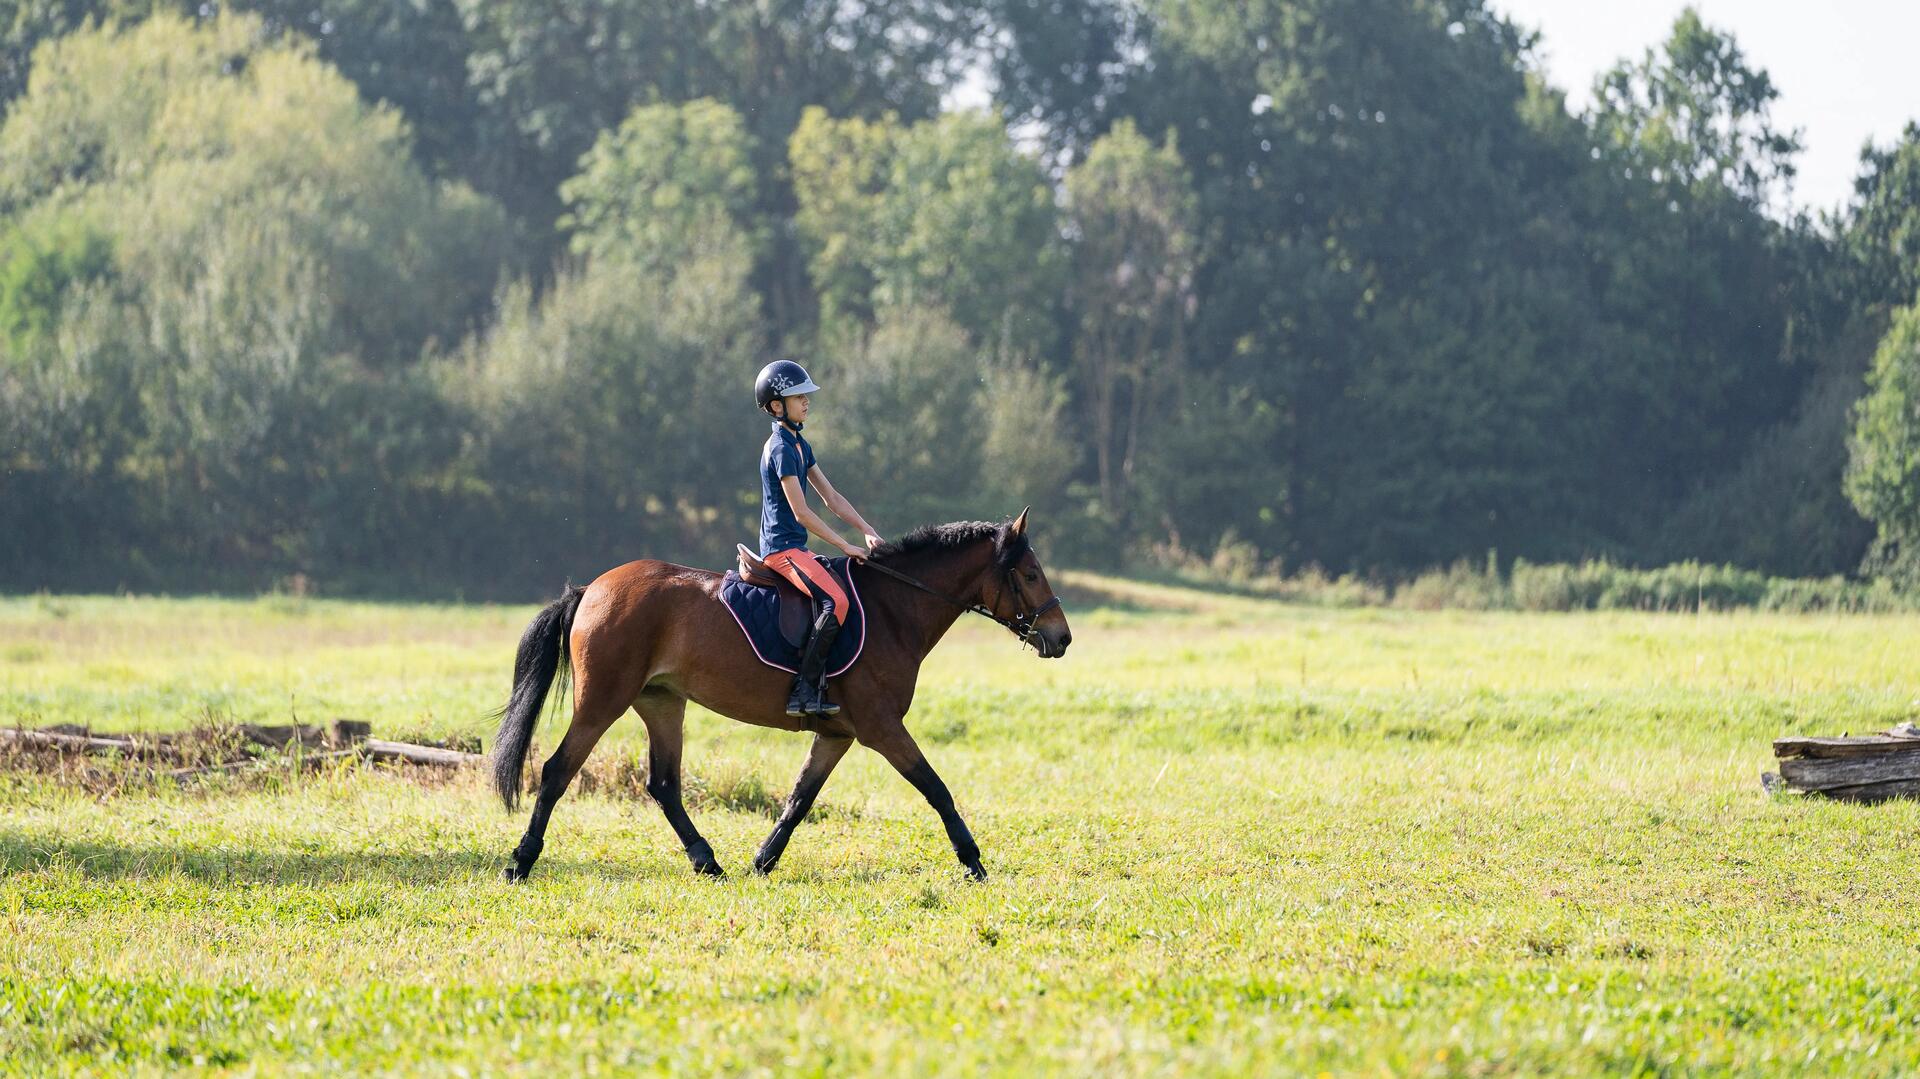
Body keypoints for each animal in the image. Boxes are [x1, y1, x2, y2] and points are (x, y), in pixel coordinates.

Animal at [487, 506, 1075, 879]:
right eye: (1029, 574)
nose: (1062, 637)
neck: (894, 609)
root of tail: (593, 589)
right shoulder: (882, 727)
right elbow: (936, 788)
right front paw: (973, 860)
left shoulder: (838, 734)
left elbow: (799, 798)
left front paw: (763, 860)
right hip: (602, 701)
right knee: (557, 771)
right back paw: (521, 861)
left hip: (662, 702)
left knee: (664, 784)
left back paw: (708, 862)